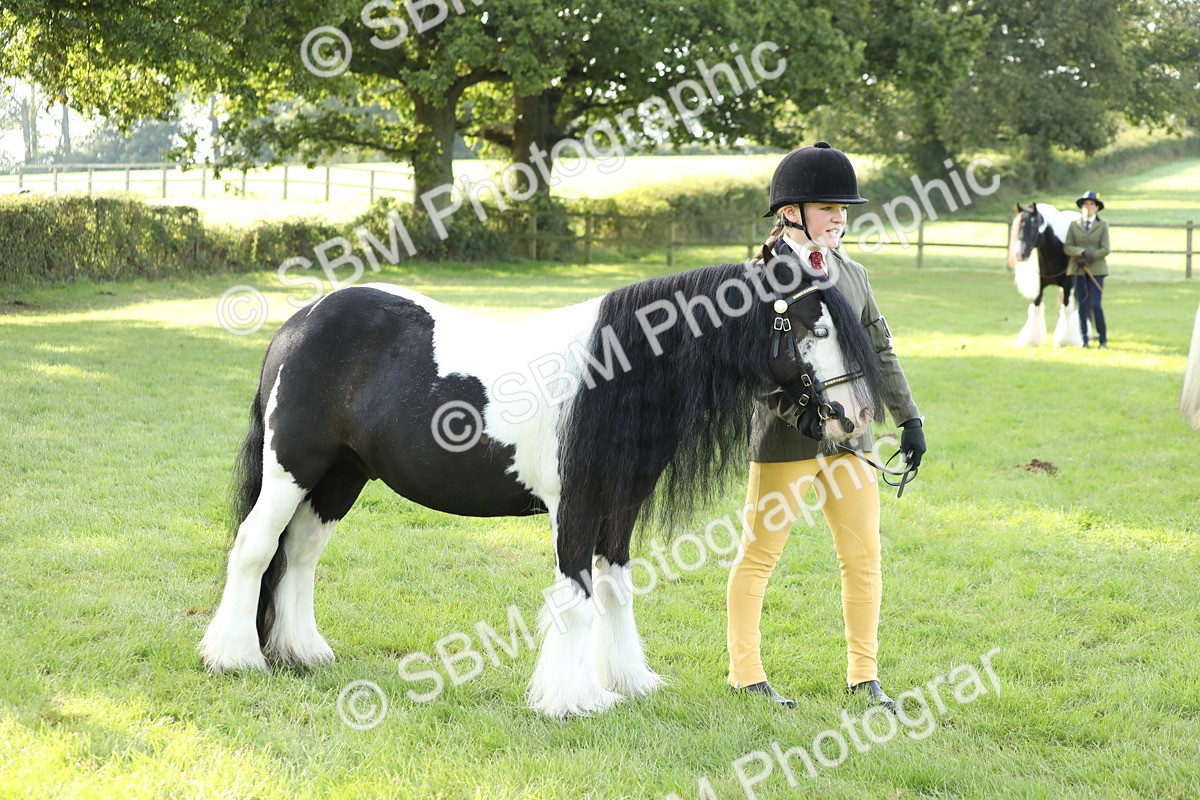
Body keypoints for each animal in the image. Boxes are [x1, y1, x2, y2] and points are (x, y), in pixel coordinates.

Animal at [198, 252, 885, 718]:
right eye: (816, 329)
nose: (857, 417)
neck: (613, 374)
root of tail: (300, 322)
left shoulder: (620, 507)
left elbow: (616, 589)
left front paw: (628, 682)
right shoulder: (574, 507)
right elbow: (576, 596)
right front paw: (574, 698)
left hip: (341, 476)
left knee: (301, 553)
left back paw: (302, 652)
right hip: (293, 466)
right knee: (256, 547)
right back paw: (235, 657)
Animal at [1008, 202, 1083, 347]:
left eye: (1034, 226)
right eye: (1018, 225)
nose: (1020, 254)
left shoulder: (1069, 284)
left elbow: (1067, 308)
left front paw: (1066, 340)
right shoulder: (1039, 287)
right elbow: (1036, 308)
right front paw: (1032, 340)